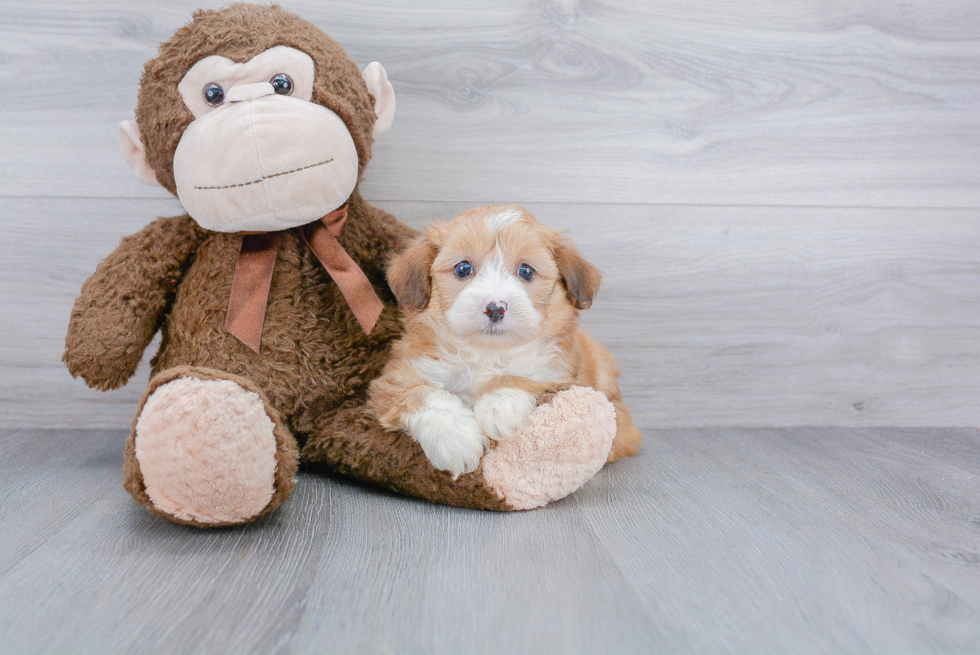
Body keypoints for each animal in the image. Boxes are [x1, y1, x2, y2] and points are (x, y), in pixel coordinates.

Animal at [370, 205, 644, 476]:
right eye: (463, 268)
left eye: (526, 271)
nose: (494, 308)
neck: (487, 353)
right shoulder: (396, 379)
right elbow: (422, 394)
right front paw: (455, 438)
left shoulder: (560, 374)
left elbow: (524, 377)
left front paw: (497, 406)